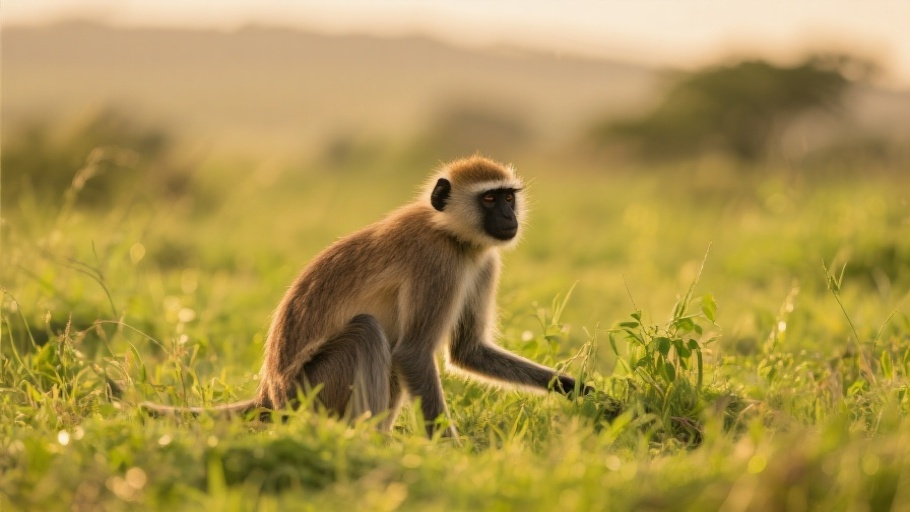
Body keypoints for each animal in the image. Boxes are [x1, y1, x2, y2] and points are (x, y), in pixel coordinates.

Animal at [142, 155, 592, 437]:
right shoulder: (439, 263)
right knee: (369, 334)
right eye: (489, 198)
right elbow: (413, 353)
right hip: (314, 391)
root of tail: (271, 395)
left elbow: (467, 351)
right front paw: (449, 450)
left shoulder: (482, 261)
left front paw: (582, 392)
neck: (447, 230)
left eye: (509, 197)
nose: (508, 217)